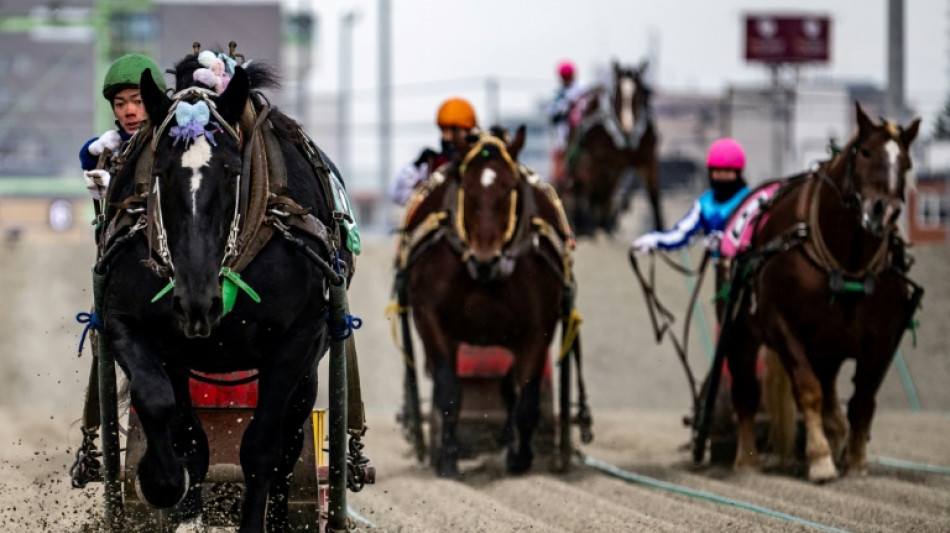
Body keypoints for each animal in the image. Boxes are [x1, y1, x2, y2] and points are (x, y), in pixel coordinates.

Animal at [400, 127, 576, 476]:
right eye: (467, 189)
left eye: (509, 189)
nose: (486, 259)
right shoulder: (430, 317)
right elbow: (448, 390)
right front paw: (447, 458)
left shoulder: (538, 326)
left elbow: (527, 396)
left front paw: (521, 457)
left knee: (510, 389)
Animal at [560, 59, 664, 235]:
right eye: (618, 96)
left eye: (640, 93)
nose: (628, 128)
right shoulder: (597, 160)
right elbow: (594, 193)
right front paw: (593, 228)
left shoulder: (648, 159)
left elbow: (654, 196)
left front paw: (661, 230)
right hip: (578, 154)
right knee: (581, 186)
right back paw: (583, 222)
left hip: (615, 167)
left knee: (608, 190)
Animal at [720, 104, 924, 482]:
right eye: (865, 152)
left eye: (905, 162)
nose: (884, 211)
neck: (846, 262)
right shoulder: (781, 324)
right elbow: (808, 390)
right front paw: (820, 460)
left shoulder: (883, 336)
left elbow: (862, 401)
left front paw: (855, 462)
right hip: (741, 332)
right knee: (746, 392)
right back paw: (747, 461)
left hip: (828, 344)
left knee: (830, 390)